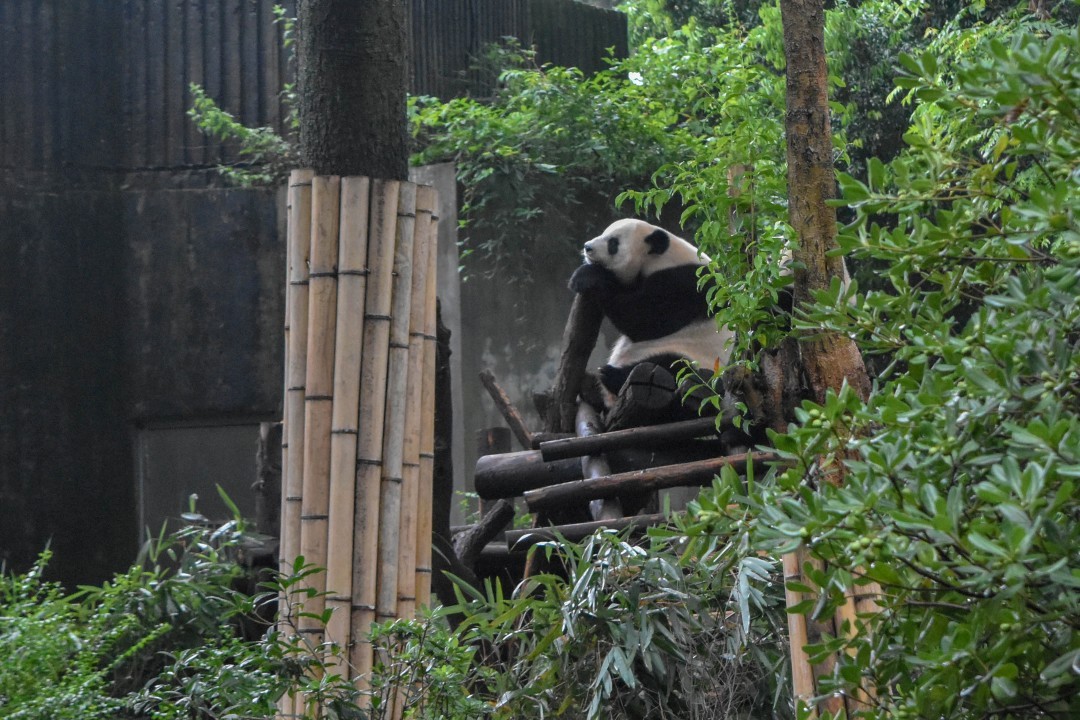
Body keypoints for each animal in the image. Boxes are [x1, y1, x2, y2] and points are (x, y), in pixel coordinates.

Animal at [568, 218, 734, 410]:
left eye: (613, 243)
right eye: (604, 233)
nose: (587, 247)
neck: (663, 257)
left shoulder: (690, 285)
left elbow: (645, 320)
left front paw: (587, 276)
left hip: (701, 362)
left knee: (676, 366)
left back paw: (610, 375)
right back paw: (590, 385)